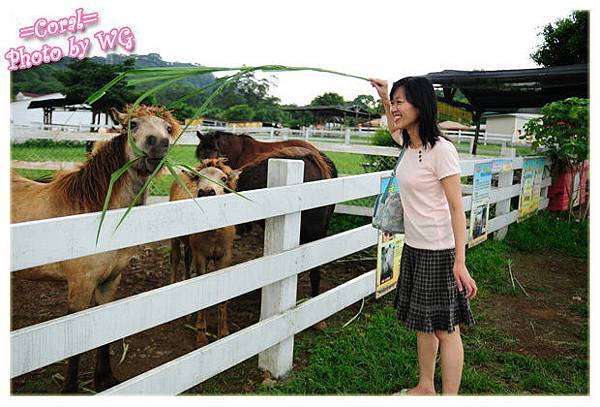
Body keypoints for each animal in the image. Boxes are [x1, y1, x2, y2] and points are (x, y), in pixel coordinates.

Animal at [11, 105, 178, 396]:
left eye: (168, 129)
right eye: (132, 124)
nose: (159, 144)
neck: (92, 215)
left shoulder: (110, 282)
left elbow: (104, 329)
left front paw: (104, 379)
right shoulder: (80, 285)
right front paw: (69, 388)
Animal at [168, 158, 240, 346]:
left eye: (224, 179)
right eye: (198, 177)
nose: (206, 192)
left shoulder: (225, 256)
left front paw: (223, 332)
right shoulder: (201, 256)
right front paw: (201, 335)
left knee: (186, 261)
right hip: (175, 239)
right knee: (175, 260)